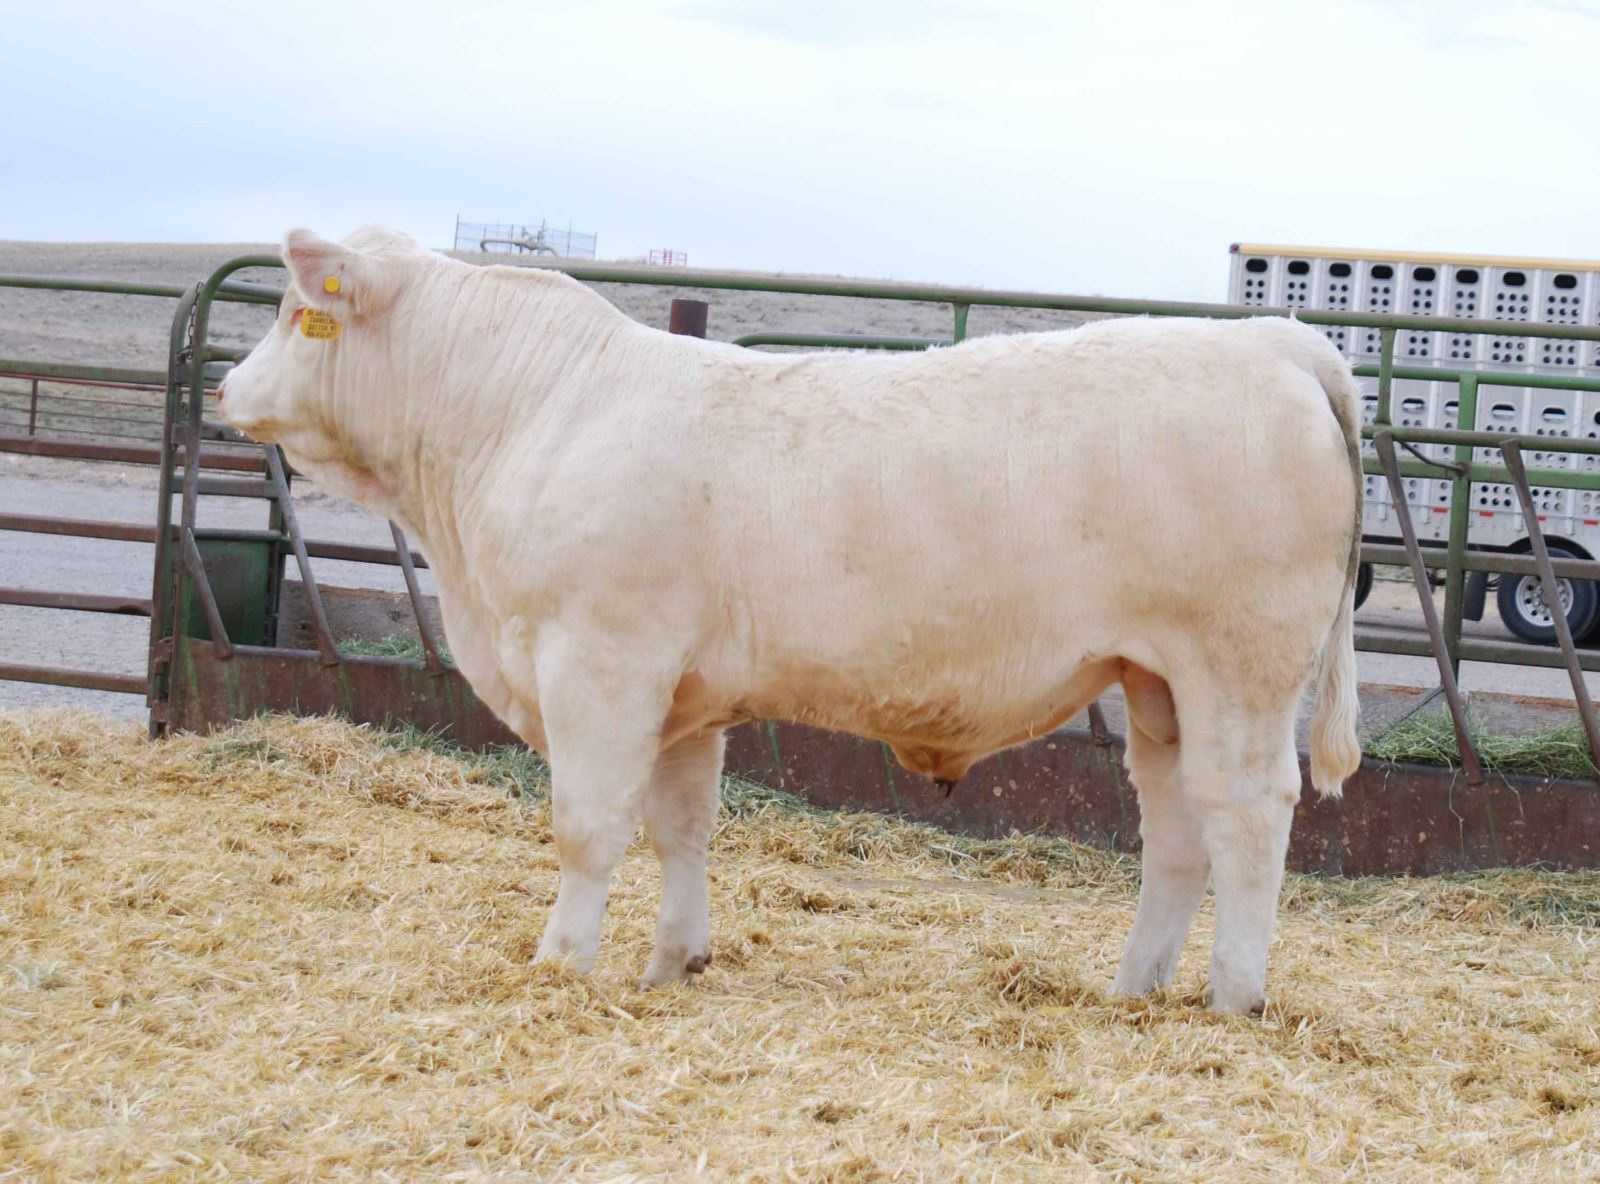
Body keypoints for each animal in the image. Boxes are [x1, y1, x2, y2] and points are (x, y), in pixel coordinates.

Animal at [217, 226, 1363, 1014]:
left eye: (288, 314)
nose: (226, 388)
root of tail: (1278, 342)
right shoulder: (682, 693)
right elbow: (680, 824)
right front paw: (671, 962)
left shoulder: (601, 660)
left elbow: (587, 825)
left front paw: (560, 964)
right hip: (1156, 679)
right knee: (1177, 829)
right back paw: (1132, 990)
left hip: (1240, 667)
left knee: (1249, 814)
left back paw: (1232, 999)